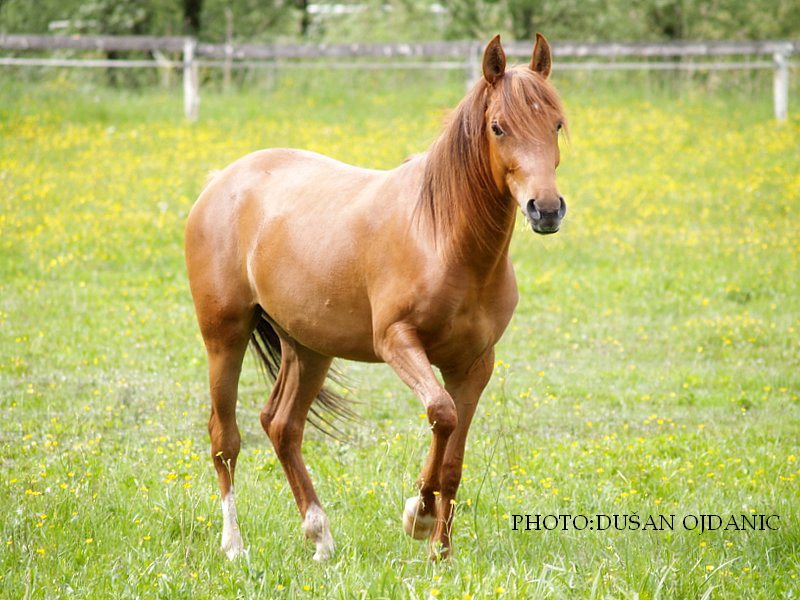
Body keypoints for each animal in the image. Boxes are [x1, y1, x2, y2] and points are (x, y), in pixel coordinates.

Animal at [184, 34, 564, 564]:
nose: (545, 210)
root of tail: (221, 182)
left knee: (282, 425)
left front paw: (441, 552)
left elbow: (454, 458)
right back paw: (235, 546)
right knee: (225, 439)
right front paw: (418, 517)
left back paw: (320, 536)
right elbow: (441, 414)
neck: (443, 238)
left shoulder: (474, 364)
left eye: (557, 124)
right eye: (498, 127)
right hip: (224, 337)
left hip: (308, 347)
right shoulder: (397, 342)